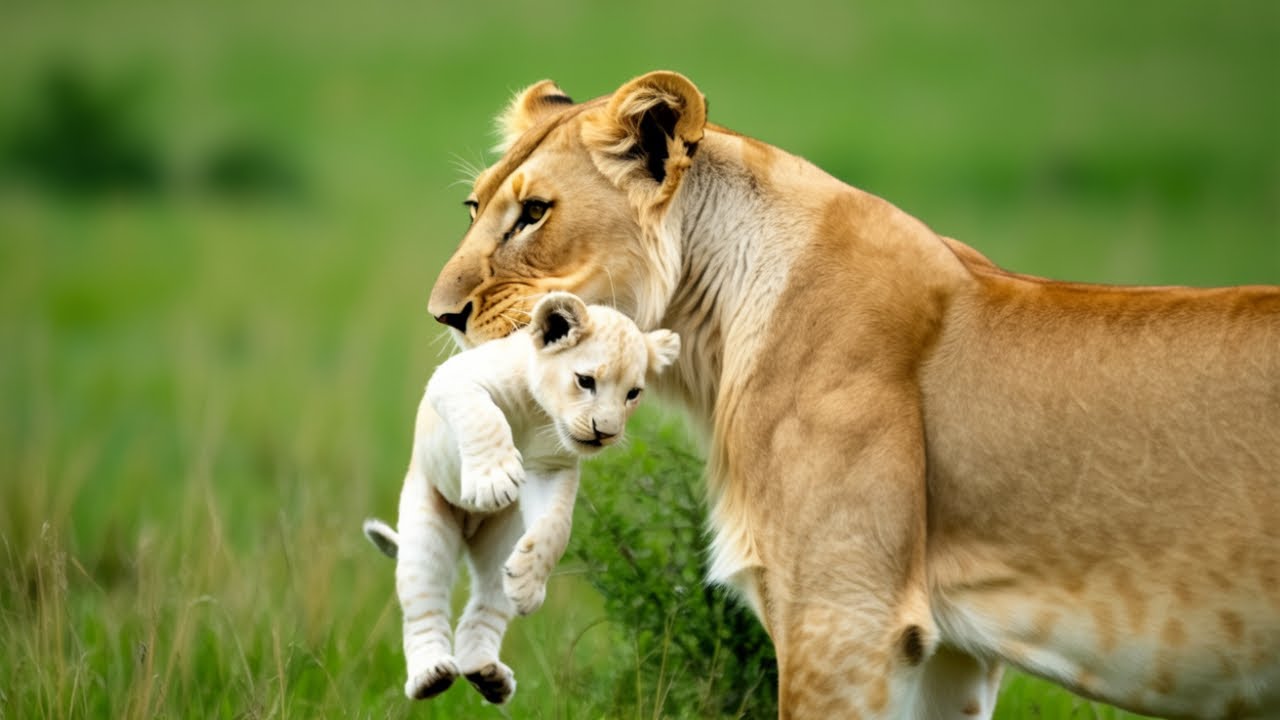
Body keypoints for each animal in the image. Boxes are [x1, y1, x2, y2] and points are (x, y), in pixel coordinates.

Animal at [363, 291, 679, 704]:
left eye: (633, 394)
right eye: (585, 381)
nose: (605, 432)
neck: (540, 411)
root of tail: (468, 530)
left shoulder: (551, 469)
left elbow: (556, 525)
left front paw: (529, 581)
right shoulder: (453, 378)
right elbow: (484, 415)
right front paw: (494, 479)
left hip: (501, 541)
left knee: (486, 606)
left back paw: (487, 674)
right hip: (426, 524)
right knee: (424, 604)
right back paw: (430, 674)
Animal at [423, 71, 1280, 719]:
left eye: (535, 213)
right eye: (475, 206)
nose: (442, 314)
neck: (712, 332)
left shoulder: (846, 619)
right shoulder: (946, 655)